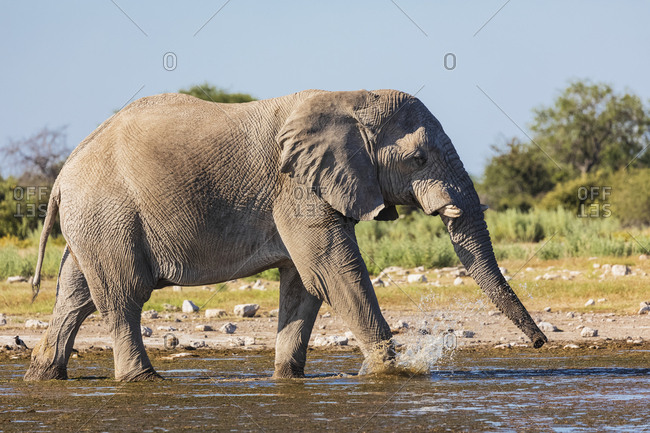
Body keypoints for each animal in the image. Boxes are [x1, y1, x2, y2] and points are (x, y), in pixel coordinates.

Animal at [24, 89, 547, 382]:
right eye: (418, 160)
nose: (541, 343)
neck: (351, 95)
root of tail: (63, 174)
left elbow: (304, 285)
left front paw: (288, 378)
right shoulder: (297, 188)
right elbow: (333, 272)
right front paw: (389, 373)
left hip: (95, 221)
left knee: (75, 294)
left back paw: (43, 378)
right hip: (109, 214)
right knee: (123, 296)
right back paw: (142, 382)